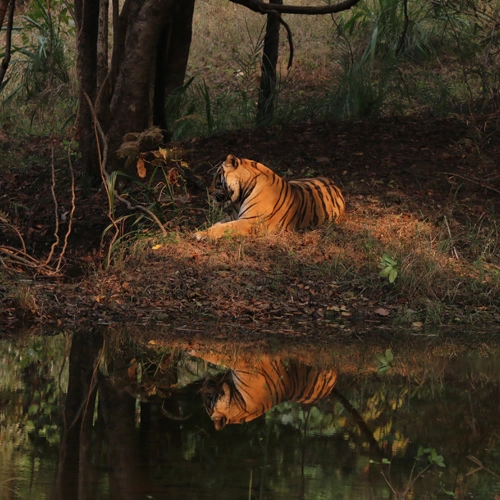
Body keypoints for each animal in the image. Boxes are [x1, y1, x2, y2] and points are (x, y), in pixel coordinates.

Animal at [193, 153, 346, 239]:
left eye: (217, 177)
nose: (209, 192)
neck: (240, 195)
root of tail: (334, 183)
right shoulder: (235, 216)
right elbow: (218, 223)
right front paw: (202, 229)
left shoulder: (249, 221)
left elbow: (224, 227)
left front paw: (200, 234)